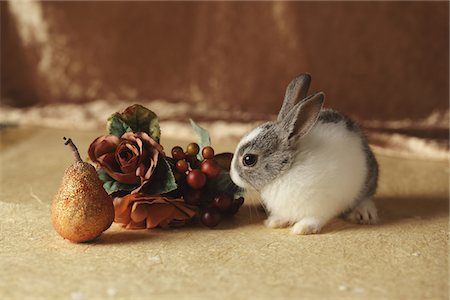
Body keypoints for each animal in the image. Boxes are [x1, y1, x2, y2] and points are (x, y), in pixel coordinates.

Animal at [230, 72, 378, 234]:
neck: (285, 171)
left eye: (248, 159)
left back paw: (364, 213)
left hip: (365, 182)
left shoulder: (320, 206)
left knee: (365, 198)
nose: (232, 175)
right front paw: (274, 222)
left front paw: (302, 229)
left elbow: (315, 218)